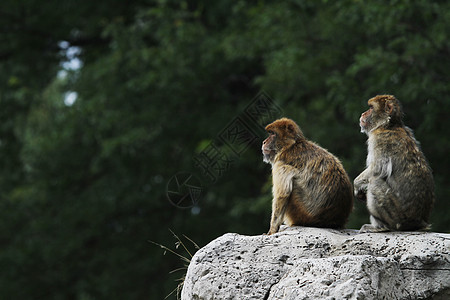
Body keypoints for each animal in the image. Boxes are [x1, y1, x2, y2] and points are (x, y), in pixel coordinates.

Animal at [356, 94, 436, 232]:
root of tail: (419, 221)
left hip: (397, 217)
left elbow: (377, 169)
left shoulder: (379, 140)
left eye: (371, 108)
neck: (389, 125)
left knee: (375, 182)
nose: (363, 113)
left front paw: (356, 185)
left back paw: (381, 227)